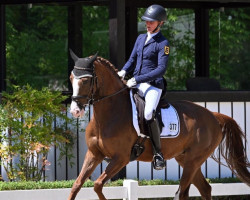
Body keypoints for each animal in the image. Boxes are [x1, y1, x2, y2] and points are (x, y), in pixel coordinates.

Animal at [67, 52, 250, 200]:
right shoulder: (94, 154)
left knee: (182, 193)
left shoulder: (121, 158)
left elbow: (97, 185)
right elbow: (76, 185)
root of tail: (213, 115)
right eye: (71, 78)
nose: (75, 110)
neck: (109, 114)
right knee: (204, 189)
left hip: (193, 160)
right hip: (186, 159)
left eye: (86, 80)